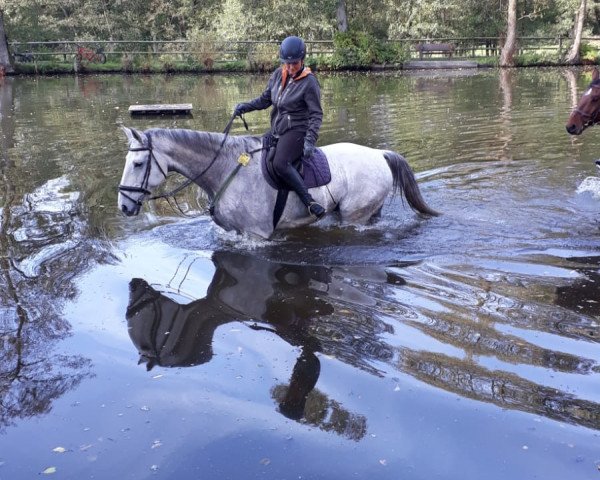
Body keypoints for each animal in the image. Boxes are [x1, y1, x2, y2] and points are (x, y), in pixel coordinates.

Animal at [117, 125, 438, 238]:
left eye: (137, 164)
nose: (123, 207)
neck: (225, 169)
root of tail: (380, 154)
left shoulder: (258, 237)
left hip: (353, 216)